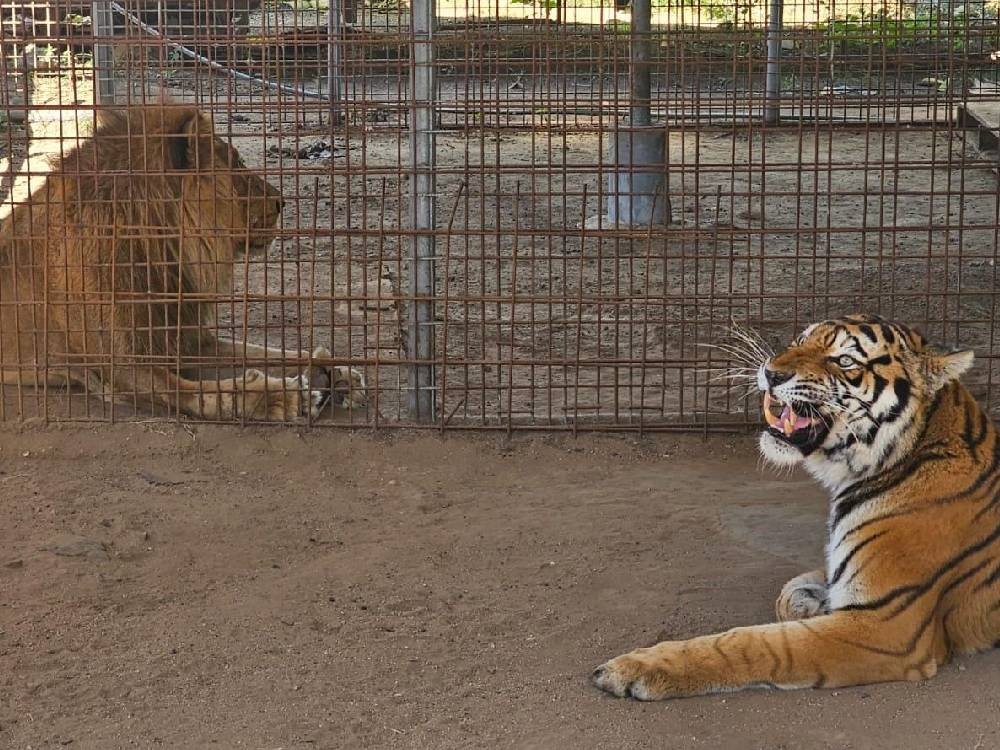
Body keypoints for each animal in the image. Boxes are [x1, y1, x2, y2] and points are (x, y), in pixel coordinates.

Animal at [0, 105, 366, 420]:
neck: (159, 251)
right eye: (236, 163)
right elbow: (203, 393)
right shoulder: (119, 369)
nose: (281, 201)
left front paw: (338, 371)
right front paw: (285, 397)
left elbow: (267, 351)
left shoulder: (187, 339)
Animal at [593, 314, 1000, 700]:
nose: (771, 373)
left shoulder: (886, 624)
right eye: (801, 340)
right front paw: (810, 602)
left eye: (845, 360)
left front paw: (635, 668)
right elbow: (790, 591)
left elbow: (755, 644)